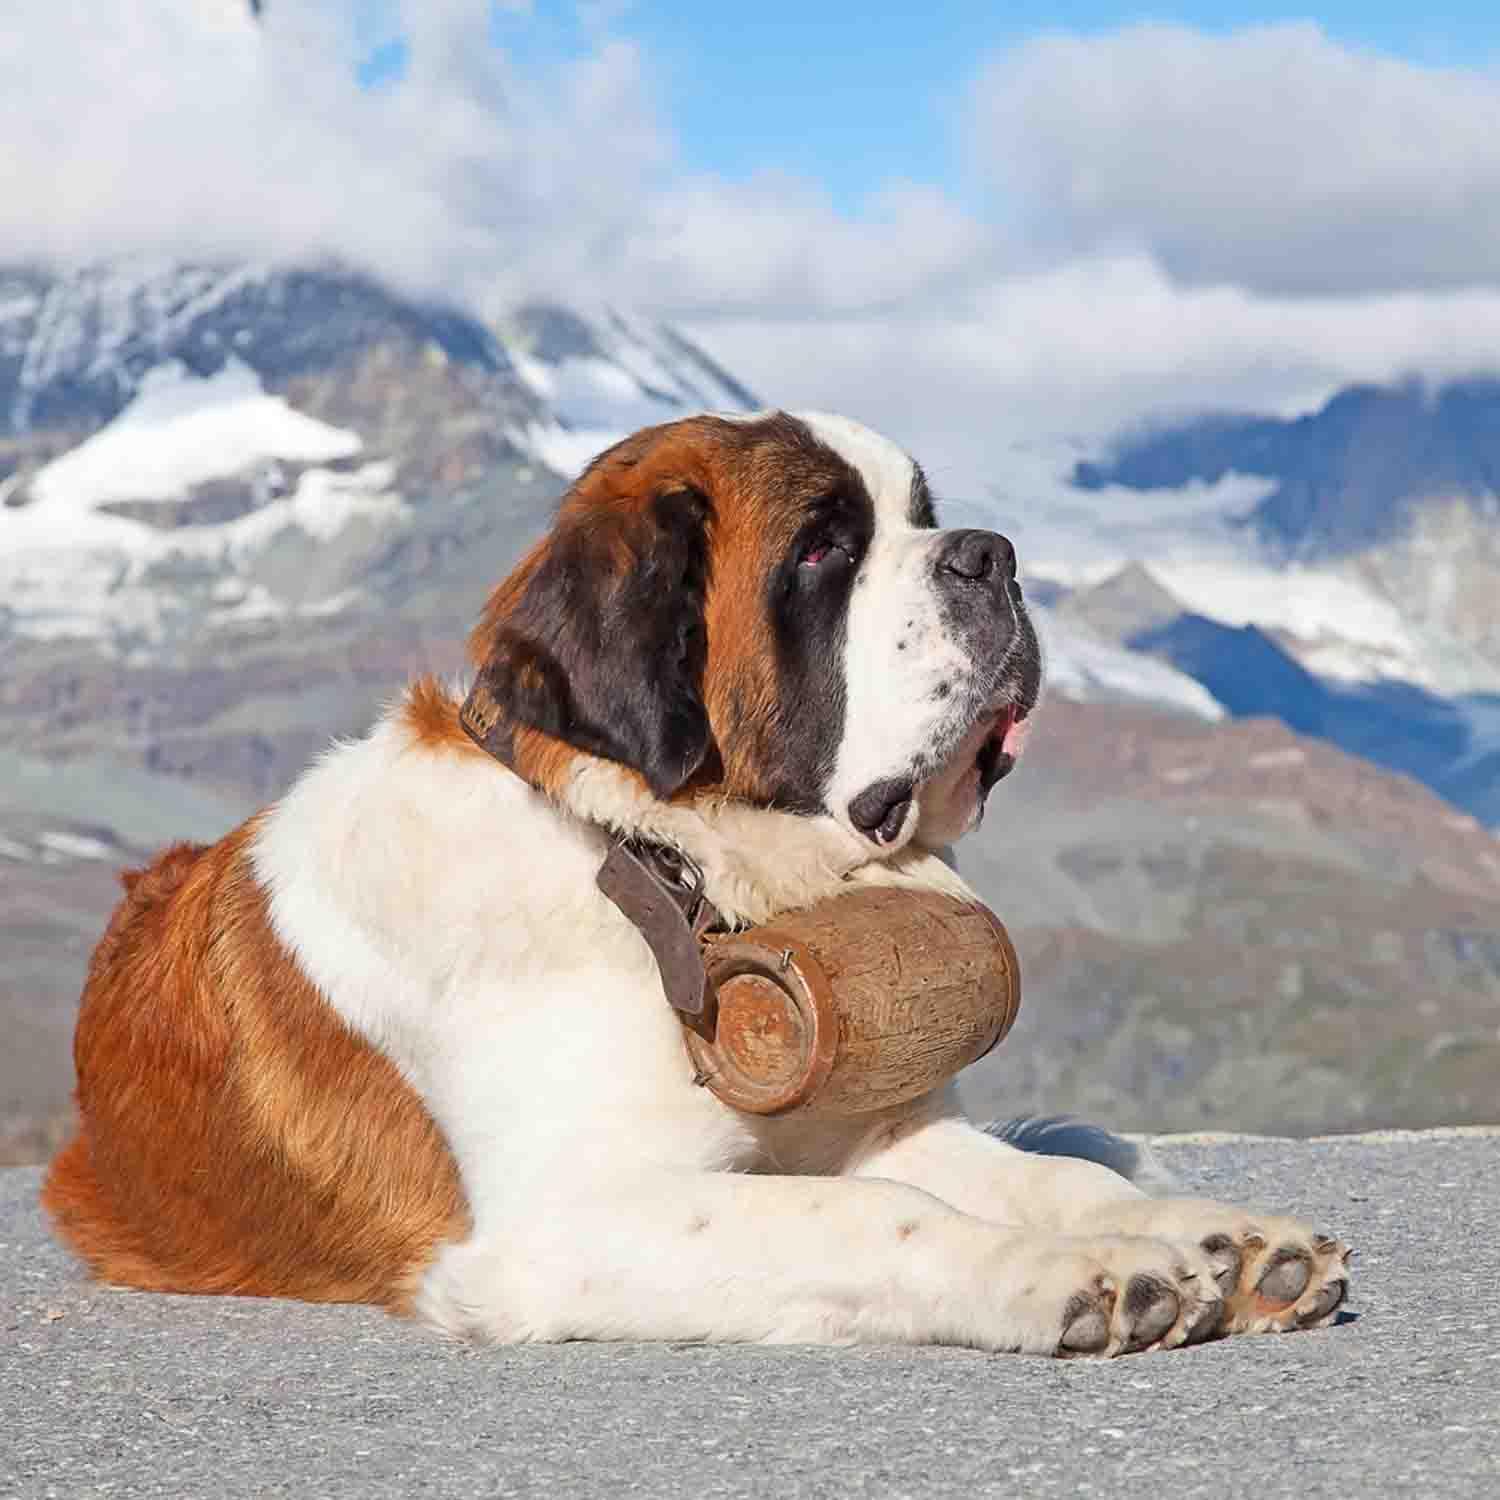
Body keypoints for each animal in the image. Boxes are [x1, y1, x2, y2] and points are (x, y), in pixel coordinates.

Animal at [43, 411, 1350, 1362]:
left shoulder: (870, 1126)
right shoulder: (566, 1221)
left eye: (922, 518)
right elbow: (881, 1216)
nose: (994, 553)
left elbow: (1050, 1180)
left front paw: (1222, 1243)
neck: (661, 867)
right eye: (822, 548)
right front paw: (1075, 1274)